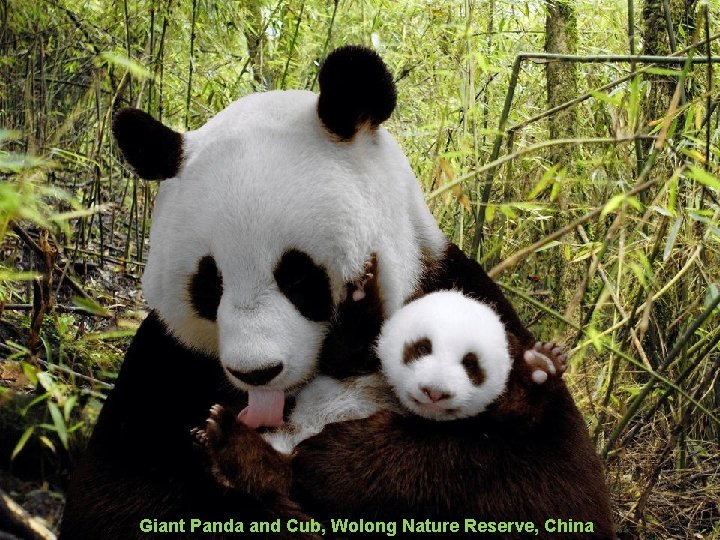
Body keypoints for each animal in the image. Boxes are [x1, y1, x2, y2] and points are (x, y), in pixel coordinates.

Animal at [59, 45, 604, 540]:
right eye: (209, 284)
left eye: (298, 277)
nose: (256, 373)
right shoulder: (165, 365)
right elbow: (118, 497)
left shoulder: (459, 294)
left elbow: (546, 481)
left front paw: (341, 458)